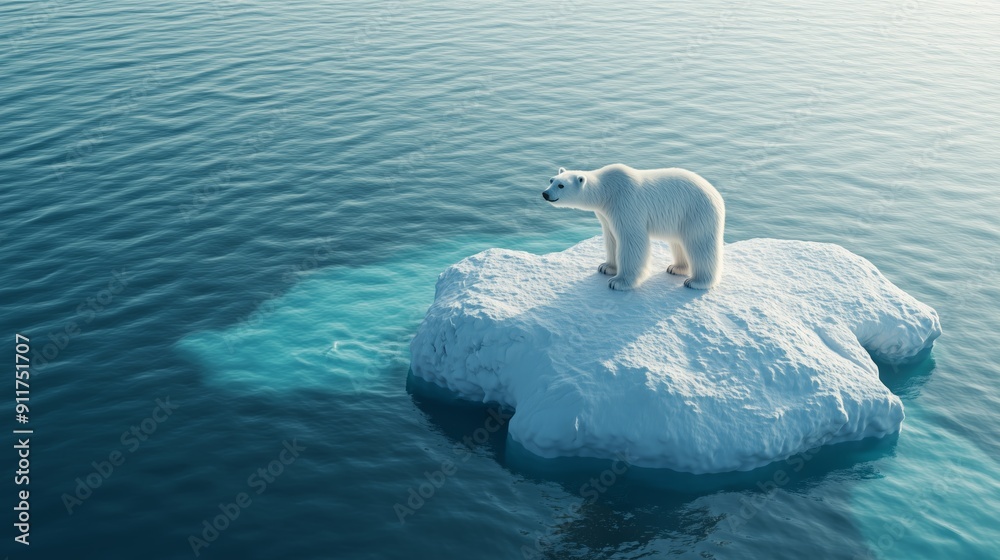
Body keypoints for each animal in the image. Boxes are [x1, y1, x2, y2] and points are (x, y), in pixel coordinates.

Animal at [541, 164, 725, 290]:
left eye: (561, 185)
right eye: (551, 180)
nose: (545, 193)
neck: (607, 191)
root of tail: (716, 193)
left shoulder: (626, 204)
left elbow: (632, 240)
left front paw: (618, 282)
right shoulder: (606, 214)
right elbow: (611, 238)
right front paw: (606, 267)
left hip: (696, 212)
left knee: (700, 244)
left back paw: (696, 281)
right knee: (678, 242)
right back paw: (676, 268)